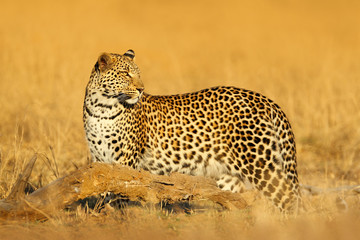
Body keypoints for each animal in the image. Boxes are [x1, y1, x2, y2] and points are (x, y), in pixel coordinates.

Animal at [83, 48, 300, 212]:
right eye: (125, 74)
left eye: (138, 74)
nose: (141, 89)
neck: (101, 108)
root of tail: (267, 101)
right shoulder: (99, 158)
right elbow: (104, 188)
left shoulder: (126, 159)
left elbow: (120, 189)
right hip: (229, 174)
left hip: (259, 163)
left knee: (290, 198)